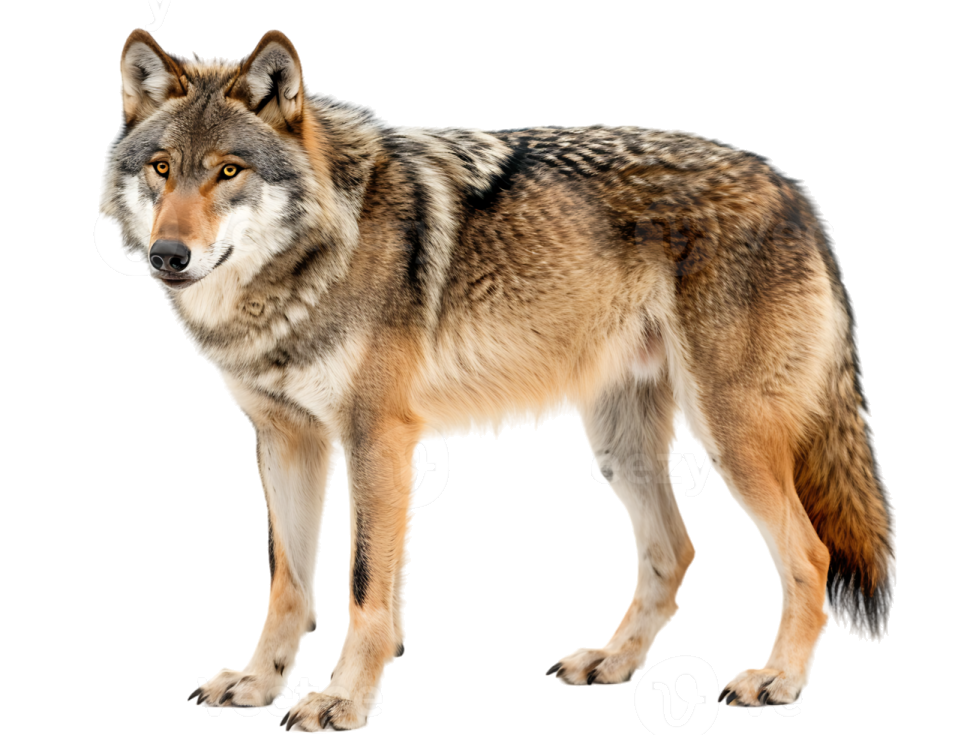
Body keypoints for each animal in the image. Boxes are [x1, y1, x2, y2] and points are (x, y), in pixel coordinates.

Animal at [100, 28, 896, 731]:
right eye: (163, 168)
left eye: (229, 171)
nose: (168, 255)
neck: (314, 256)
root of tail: (796, 192)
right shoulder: (283, 441)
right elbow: (288, 584)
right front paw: (258, 684)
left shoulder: (376, 439)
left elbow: (364, 586)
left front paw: (341, 700)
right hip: (621, 444)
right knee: (675, 551)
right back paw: (613, 661)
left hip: (730, 435)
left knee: (810, 555)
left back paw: (778, 680)